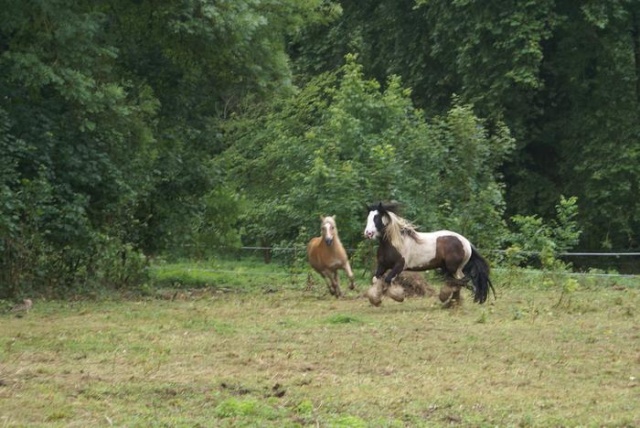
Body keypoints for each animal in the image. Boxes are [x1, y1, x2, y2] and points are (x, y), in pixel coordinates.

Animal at [362, 202, 492, 306]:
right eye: (368, 218)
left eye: (377, 218)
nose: (368, 233)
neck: (394, 243)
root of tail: (467, 242)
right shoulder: (383, 265)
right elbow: (375, 279)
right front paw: (375, 300)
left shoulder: (399, 266)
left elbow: (388, 279)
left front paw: (399, 297)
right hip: (448, 268)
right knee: (456, 282)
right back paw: (449, 302)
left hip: (454, 268)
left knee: (460, 281)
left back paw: (451, 302)